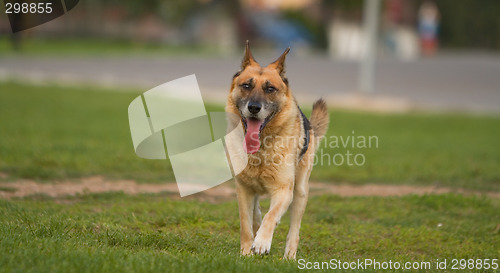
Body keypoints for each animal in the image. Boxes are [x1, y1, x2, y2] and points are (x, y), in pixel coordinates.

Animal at [226, 41, 328, 258]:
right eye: (246, 85)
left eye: (270, 89)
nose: (254, 108)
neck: (261, 150)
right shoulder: (243, 189)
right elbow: (245, 224)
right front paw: (246, 253)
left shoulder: (283, 190)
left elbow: (271, 216)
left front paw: (262, 242)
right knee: (256, 212)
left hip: (300, 192)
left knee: (294, 230)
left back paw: (289, 257)